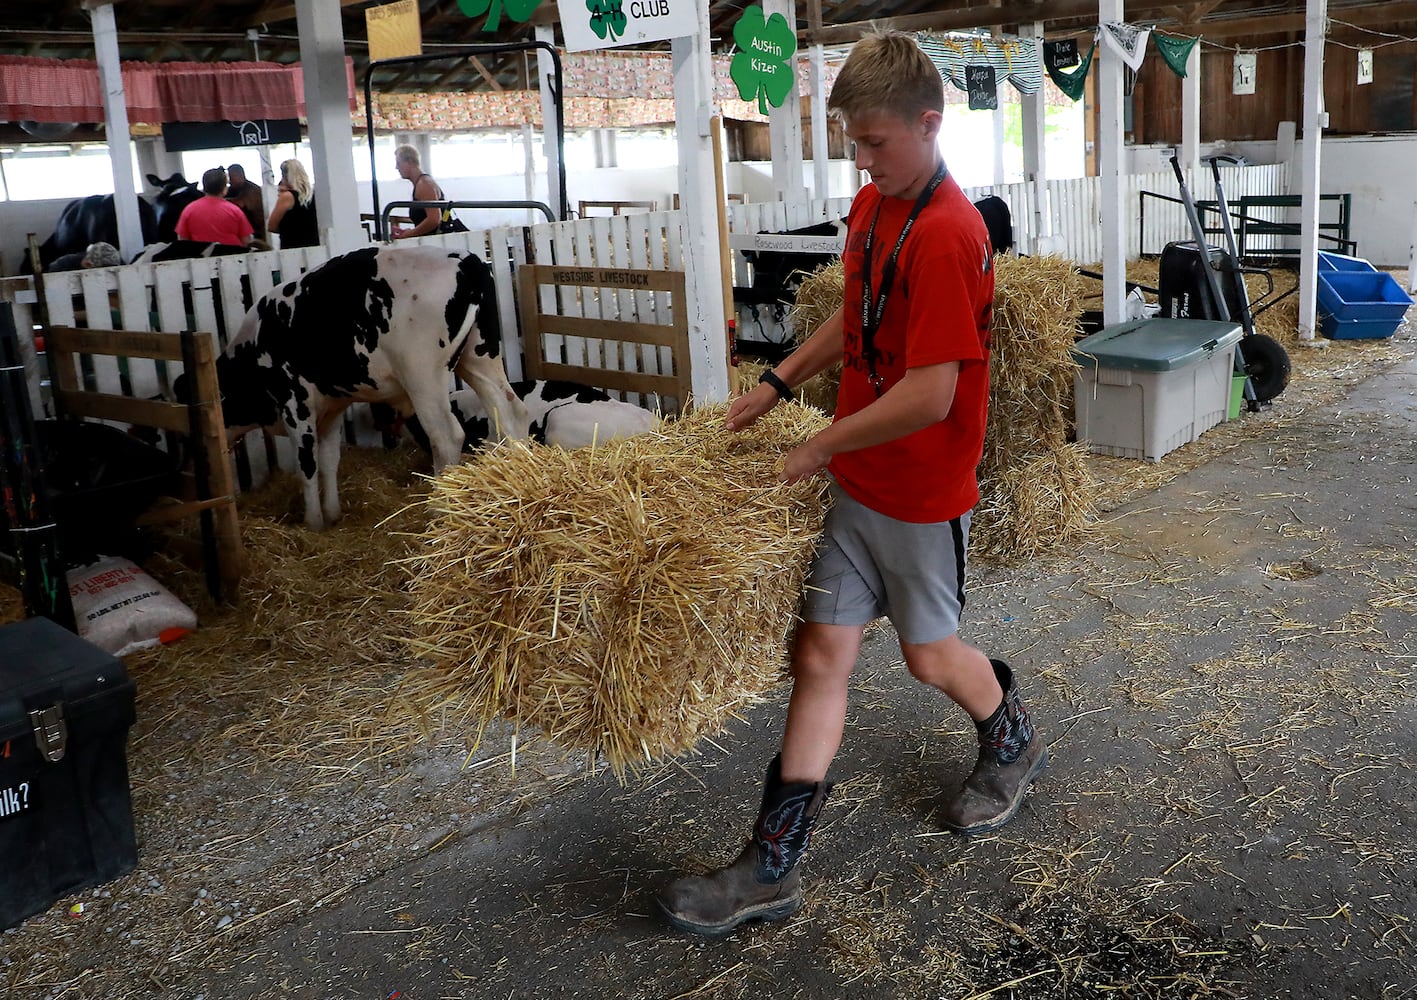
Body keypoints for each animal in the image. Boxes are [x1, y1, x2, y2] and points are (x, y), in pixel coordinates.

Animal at [218, 245, 529, 526]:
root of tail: (467, 260)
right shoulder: (332, 409)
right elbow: (329, 460)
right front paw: (332, 515)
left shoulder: (295, 403)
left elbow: (307, 464)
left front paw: (313, 522)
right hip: (479, 358)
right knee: (512, 413)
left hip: (423, 376)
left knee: (446, 436)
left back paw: (438, 509)